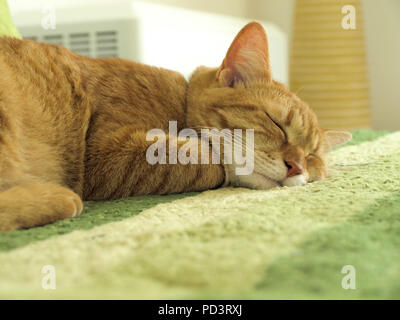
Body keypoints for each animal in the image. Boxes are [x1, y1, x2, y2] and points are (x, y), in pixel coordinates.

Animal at [0, 22, 350, 232]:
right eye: (276, 123)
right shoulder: (107, 150)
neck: (178, 103)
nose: (297, 167)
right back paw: (56, 198)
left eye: (313, 157)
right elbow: (209, 161)